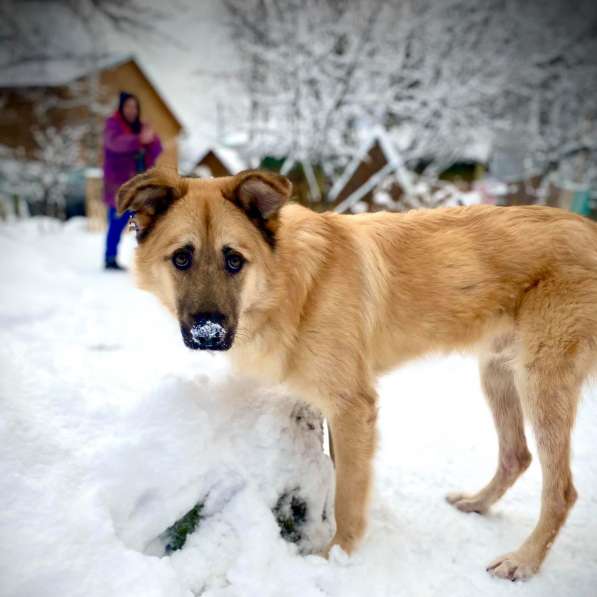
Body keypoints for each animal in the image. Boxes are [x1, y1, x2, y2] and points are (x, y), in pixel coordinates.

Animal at [116, 166, 596, 576]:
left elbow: (347, 493)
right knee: (517, 455)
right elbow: (332, 474)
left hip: (540, 380)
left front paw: (337, 556)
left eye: (234, 260)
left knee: (561, 490)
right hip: (498, 372)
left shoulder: (352, 408)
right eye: (182, 259)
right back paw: (478, 503)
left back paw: (523, 561)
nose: (209, 333)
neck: (294, 284)